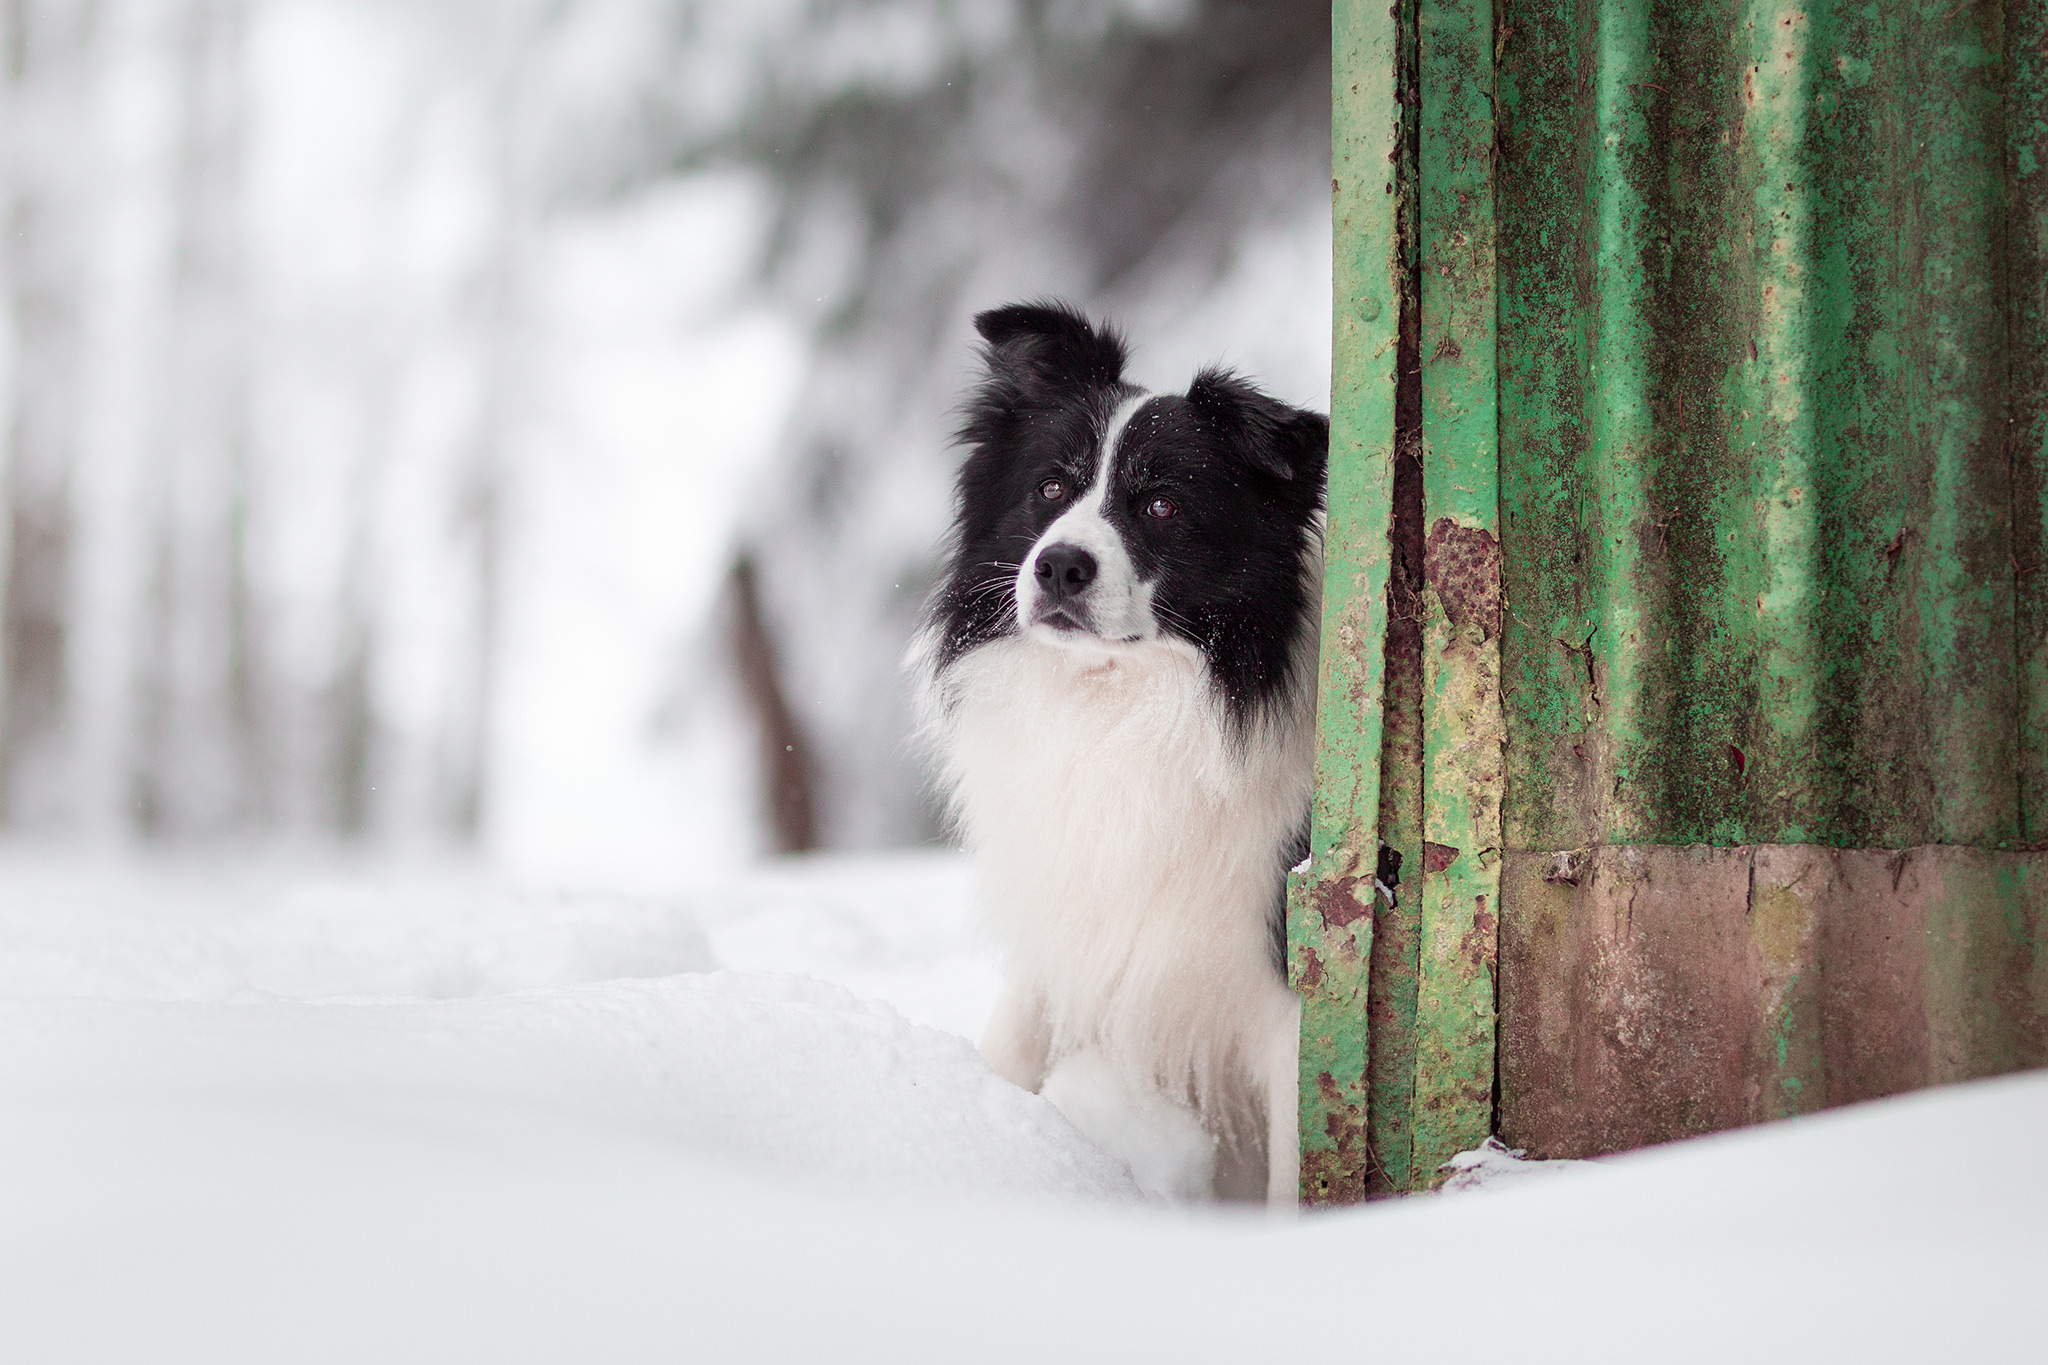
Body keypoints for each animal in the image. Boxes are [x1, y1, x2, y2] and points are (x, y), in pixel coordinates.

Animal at [913, 304, 1327, 1203]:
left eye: (1162, 504)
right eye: (1050, 488)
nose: (1059, 565)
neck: (1121, 705)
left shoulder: (1291, 1000)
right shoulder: (1073, 923)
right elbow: (1011, 1045)